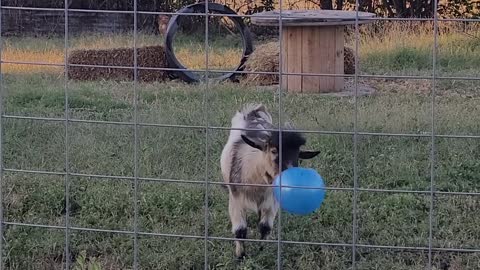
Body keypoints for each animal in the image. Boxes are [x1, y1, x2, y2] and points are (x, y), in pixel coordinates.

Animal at [220, 102, 318, 258]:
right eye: (273, 150)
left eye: (298, 156)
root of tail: (253, 112)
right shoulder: (236, 201)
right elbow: (240, 231)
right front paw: (240, 256)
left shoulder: (271, 202)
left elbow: (265, 227)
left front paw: (262, 250)